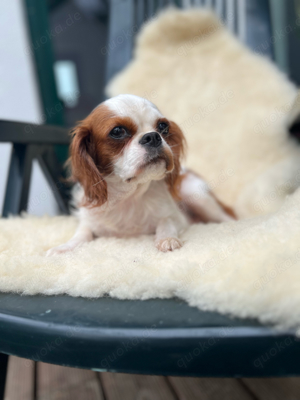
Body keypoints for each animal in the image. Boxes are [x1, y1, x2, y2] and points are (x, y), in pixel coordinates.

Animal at [47, 95, 234, 255]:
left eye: (163, 127)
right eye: (117, 131)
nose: (153, 136)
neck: (128, 195)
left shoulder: (179, 218)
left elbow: (166, 221)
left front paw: (167, 238)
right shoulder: (89, 221)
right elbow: (82, 233)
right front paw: (64, 247)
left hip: (196, 194)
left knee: (228, 218)